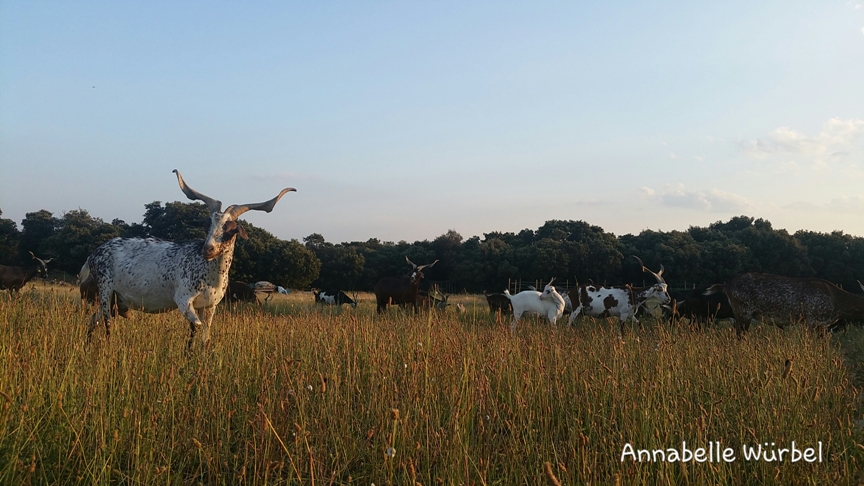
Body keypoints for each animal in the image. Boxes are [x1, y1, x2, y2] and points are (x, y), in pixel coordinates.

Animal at [85, 169, 294, 348]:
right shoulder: (184, 300)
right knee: (107, 323)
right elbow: (196, 327)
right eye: (207, 225)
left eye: (231, 229)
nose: (208, 249)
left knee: (94, 319)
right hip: (105, 289)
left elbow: (206, 336)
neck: (210, 275)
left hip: (115, 297)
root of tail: (95, 254)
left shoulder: (210, 306)